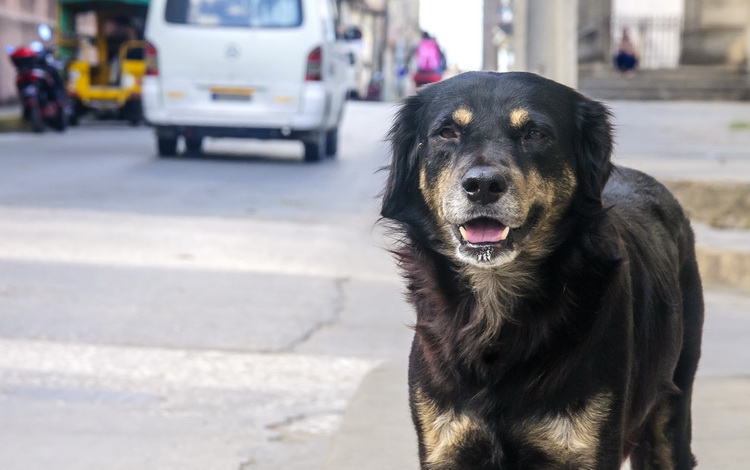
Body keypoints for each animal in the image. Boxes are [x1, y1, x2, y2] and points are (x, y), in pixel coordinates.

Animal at [382, 71, 704, 468]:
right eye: (447, 132)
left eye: (535, 133)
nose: (482, 185)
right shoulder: (445, 446)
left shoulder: (589, 448)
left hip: (670, 418)